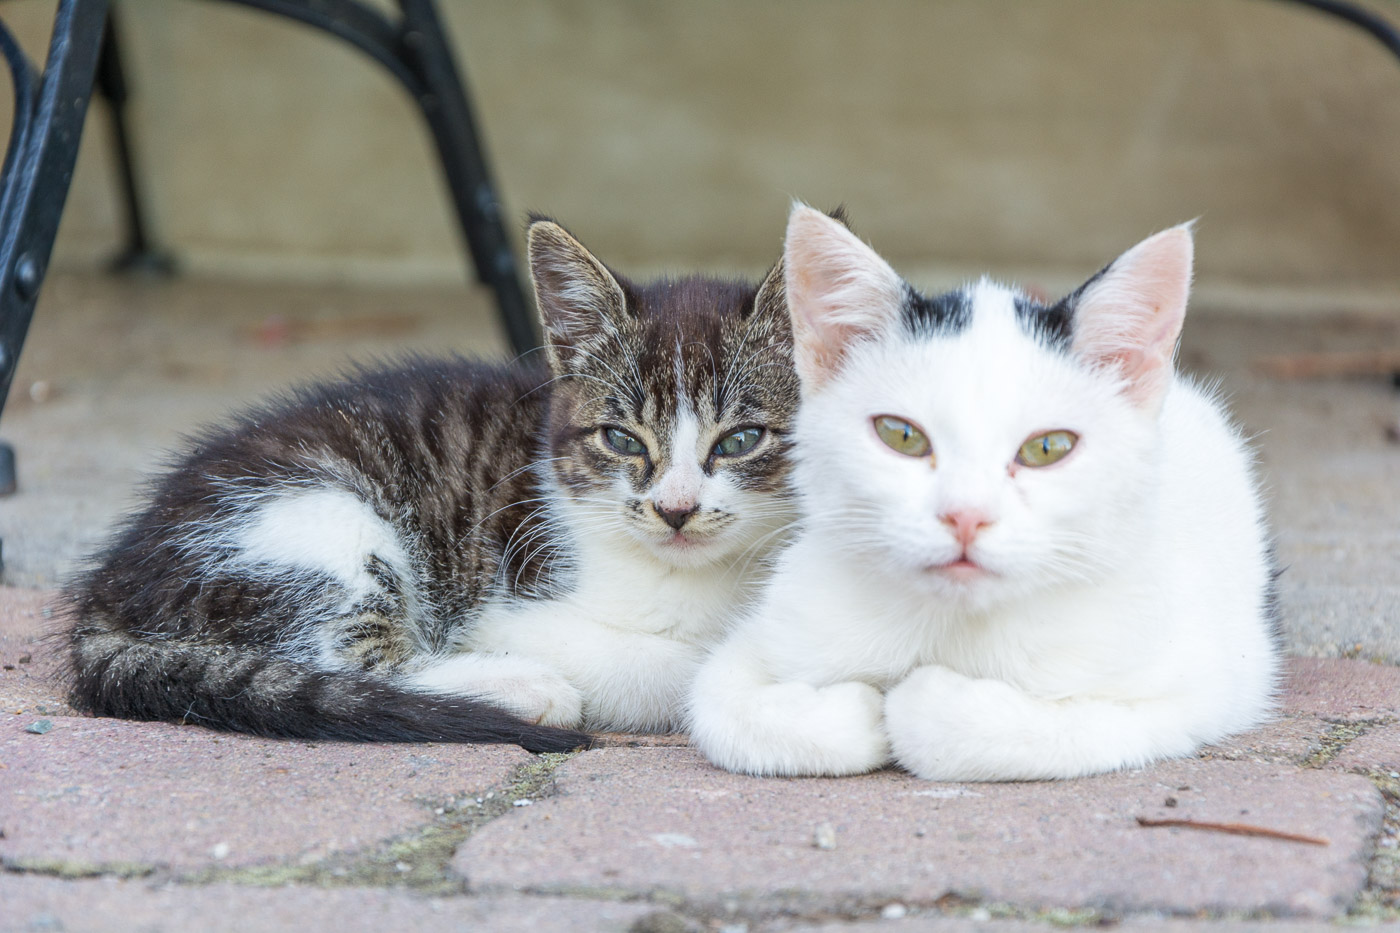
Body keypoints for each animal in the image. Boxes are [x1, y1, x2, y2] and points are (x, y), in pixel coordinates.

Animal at [63, 218, 800, 750]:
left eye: (740, 440)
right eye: (621, 439)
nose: (675, 510)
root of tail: (109, 589)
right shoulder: (507, 606)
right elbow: (671, 663)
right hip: (321, 520)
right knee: (349, 663)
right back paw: (520, 688)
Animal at [688, 203, 1282, 778]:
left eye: (1048, 447)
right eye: (901, 435)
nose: (965, 516)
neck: (948, 623)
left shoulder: (1212, 679)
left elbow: (1067, 726)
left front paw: (919, 699)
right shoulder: (765, 631)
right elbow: (721, 705)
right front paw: (855, 708)